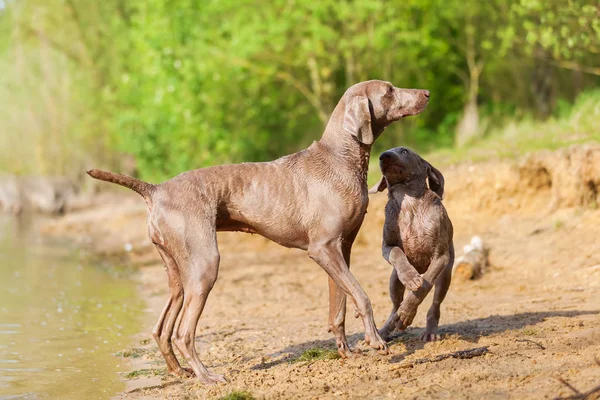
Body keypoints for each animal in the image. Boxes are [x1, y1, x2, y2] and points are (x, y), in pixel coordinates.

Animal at [85, 79, 432, 382]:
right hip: (204, 264)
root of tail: (155, 190)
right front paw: (376, 342)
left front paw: (347, 353)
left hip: (177, 273)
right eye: (389, 90)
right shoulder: (322, 248)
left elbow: (340, 307)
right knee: (184, 333)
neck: (341, 158)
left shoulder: (341, 250)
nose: (427, 93)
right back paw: (207, 377)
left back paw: (180, 372)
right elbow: (362, 296)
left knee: (161, 329)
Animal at [368, 148, 452, 344]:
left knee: (435, 305)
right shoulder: (387, 247)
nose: (384, 155)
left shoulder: (440, 258)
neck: (407, 202)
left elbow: (422, 288)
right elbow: (398, 254)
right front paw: (410, 276)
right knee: (394, 306)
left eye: (404, 151)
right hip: (393, 281)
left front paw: (406, 314)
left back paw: (429, 332)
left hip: (445, 276)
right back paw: (384, 330)